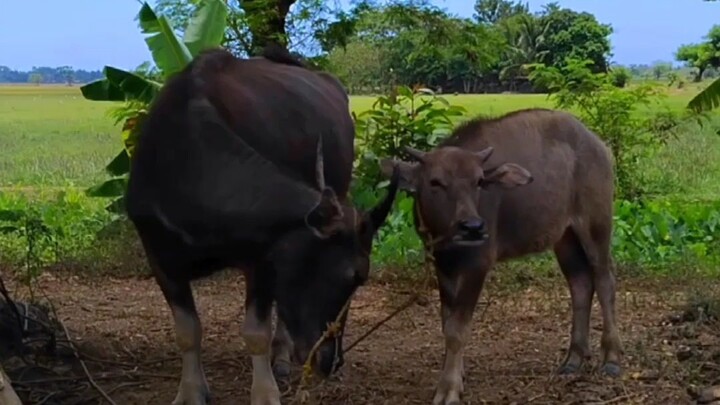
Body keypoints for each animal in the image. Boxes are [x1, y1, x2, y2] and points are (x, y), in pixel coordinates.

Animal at [380, 108, 620, 404]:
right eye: (435, 182)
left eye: (479, 181)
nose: (473, 227)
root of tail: (598, 146)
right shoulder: (442, 266)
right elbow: (446, 322)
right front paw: (457, 374)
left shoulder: (477, 266)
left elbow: (458, 329)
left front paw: (449, 387)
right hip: (564, 236)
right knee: (581, 283)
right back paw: (574, 358)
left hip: (596, 224)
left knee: (605, 280)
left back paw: (611, 357)